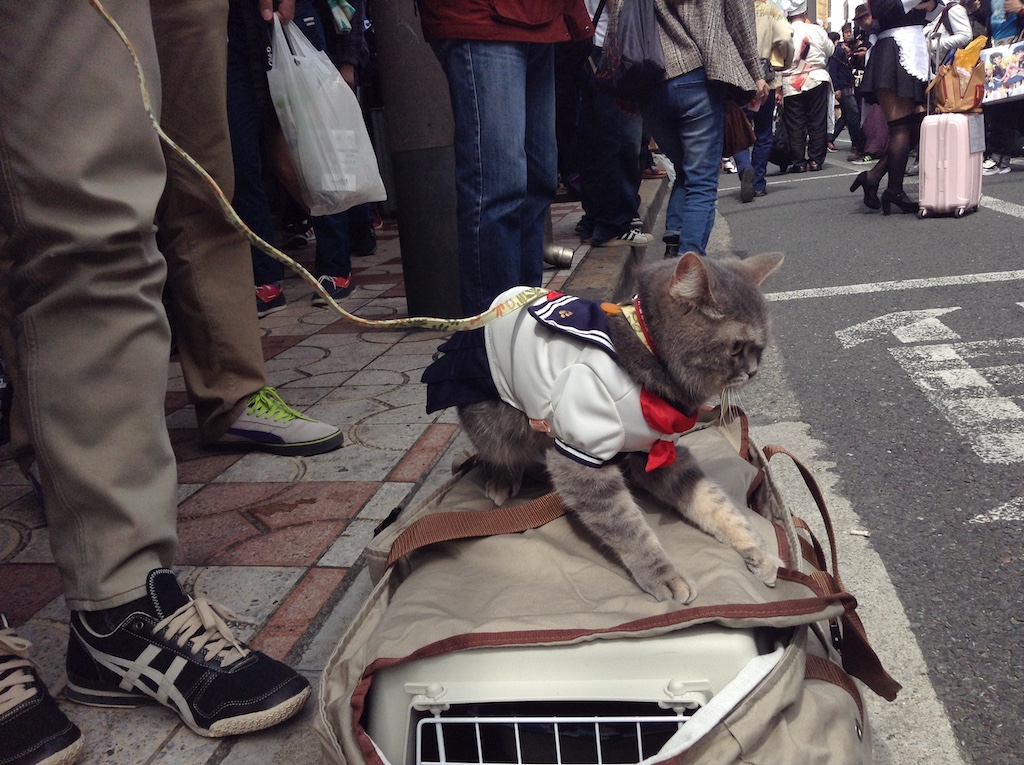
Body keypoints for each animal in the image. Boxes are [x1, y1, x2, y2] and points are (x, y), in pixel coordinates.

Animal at [421, 252, 782, 606]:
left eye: (762, 348)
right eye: (736, 348)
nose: (753, 371)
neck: (645, 356)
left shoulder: (658, 451)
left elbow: (716, 504)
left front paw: (758, 551)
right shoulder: (582, 456)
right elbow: (627, 527)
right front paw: (663, 574)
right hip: (492, 417)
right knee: (496, 452)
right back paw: (502, 479)